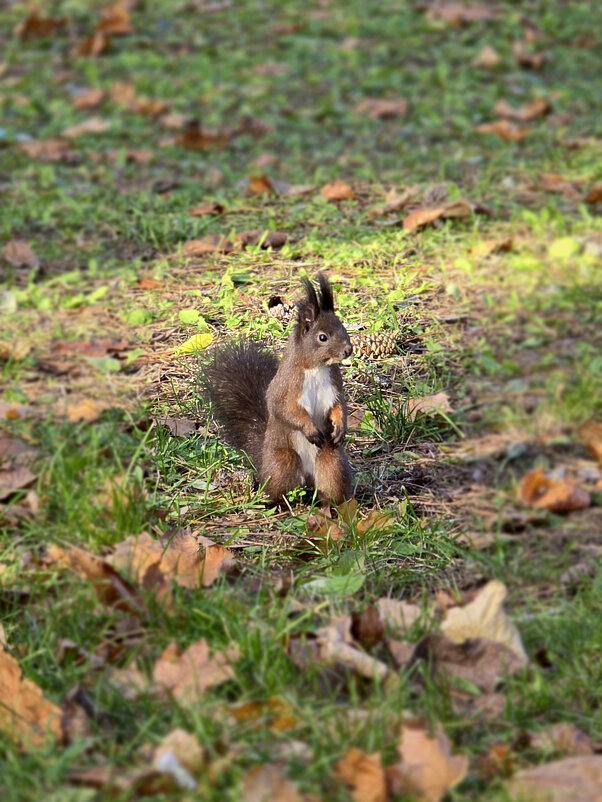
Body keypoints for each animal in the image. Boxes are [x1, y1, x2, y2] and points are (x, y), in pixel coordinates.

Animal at [204, 272, 352, 504]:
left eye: (342, 327)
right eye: (322, 337)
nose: (348, 350)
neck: (316, 368)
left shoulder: (333, 386)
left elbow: (339, 406)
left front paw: (340, 427)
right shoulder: (287, 387)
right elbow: (284, 409)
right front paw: (309, 428)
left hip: (331, 461)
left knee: (329, 485)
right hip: (283, 462)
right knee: (278, 490)